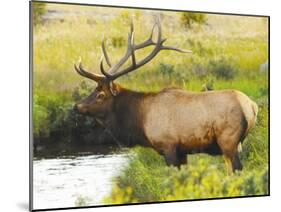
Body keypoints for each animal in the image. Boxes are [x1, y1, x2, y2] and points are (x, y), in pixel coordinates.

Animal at [73, 20, 258, 175]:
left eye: (100, 95)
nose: (76, 106)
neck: (140, 121)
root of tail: (252, 106)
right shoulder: (183, 151)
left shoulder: (168, 146)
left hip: (228, 140)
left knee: (237, 169)